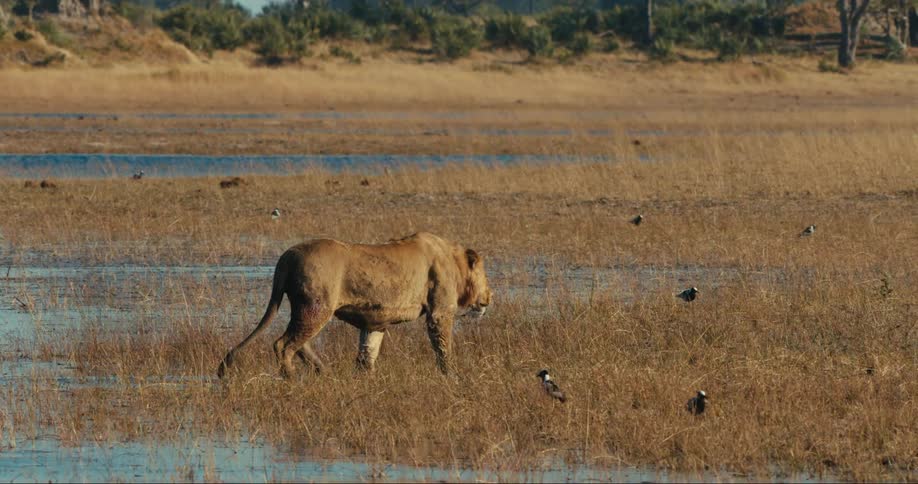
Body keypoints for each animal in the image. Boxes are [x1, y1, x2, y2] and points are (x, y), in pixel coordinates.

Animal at [217, 232, 493, 379]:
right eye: (485, 274)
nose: (490, 297)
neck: (454, 260)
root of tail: (287, 256)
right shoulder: (439, 311)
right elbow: (443, 347)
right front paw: (451, 375)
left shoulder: (376, 321)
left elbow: (367, 352)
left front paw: (365, 377)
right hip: (317, 306)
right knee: (283, 344)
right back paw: (292, 378)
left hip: (306, 307)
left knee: (300, 342)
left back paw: (324, 371)